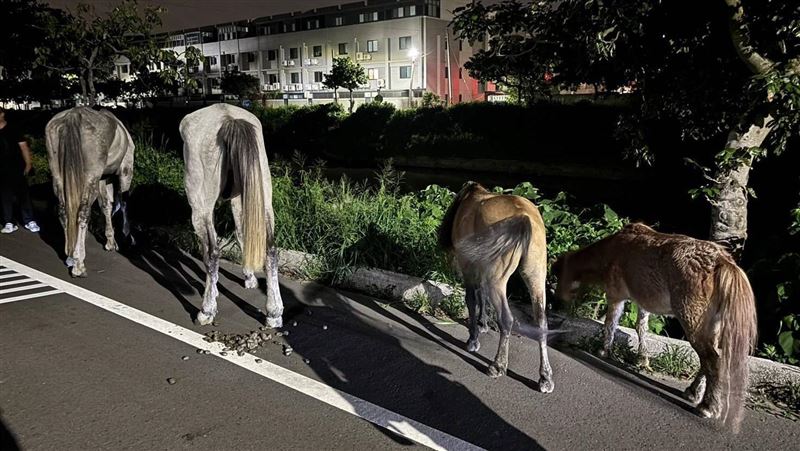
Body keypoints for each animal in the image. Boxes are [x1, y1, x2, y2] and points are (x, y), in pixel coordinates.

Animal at [45, 107, 135, 277]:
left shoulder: (102, 178)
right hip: (92, 177)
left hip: (58, 175)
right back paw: (79, 263)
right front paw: (125, 237)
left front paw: (110, 241)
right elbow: (123, 204)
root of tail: (72, 115)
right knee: (83, 212)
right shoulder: (125, 171)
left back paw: (70, 256)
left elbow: (106, 205)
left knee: (64, 211)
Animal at [179, 104, 283, 328]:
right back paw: (274, 312)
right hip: (262, 195)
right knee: (269, 249)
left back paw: (206, 311)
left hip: (200, 205)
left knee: (213, 252)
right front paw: (249, 277)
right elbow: (242, 234)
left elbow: (209, 252)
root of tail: (228, 119)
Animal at [438, 182, 554, 393]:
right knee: (542, 322)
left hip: (497, 280)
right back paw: (545, 378)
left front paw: (473, 339)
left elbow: (472, 299)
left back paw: (498, 366)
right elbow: (481, 295)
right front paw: (483, 324)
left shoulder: (469, 266)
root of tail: (524, 218)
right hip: (536, 276)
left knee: (506, 319)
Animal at [552, 223, 757, 430]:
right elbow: (641, 327)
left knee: (713, 360)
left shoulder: (615, 294)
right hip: (712, 324)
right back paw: (693, 392)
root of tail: (723, 261)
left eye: (558, 275)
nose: (557, 302)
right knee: (708, 358)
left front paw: (604, 350)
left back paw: (707, 406)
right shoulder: (643, 300)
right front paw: (643, 358)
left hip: (691, 318)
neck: (609, 249)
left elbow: (611, 323)